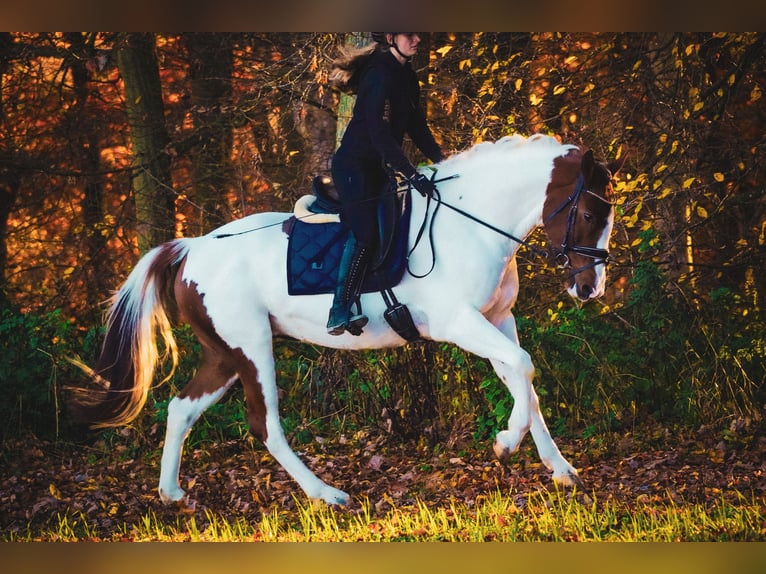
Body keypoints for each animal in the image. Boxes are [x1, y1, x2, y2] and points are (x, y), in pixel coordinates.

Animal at [72, 134, 616, 506]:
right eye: (590, 214)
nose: (590, 288)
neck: (471, 223)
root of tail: (189, 249)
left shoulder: (498, 320)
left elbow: (526, 382)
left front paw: (560, 469)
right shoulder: (460, 324)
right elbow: (523, 367)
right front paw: (505, 444)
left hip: (224, 353)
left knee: (181, 408)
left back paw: (172, 494)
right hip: (251, 347)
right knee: (264, 423)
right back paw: (327, 495)